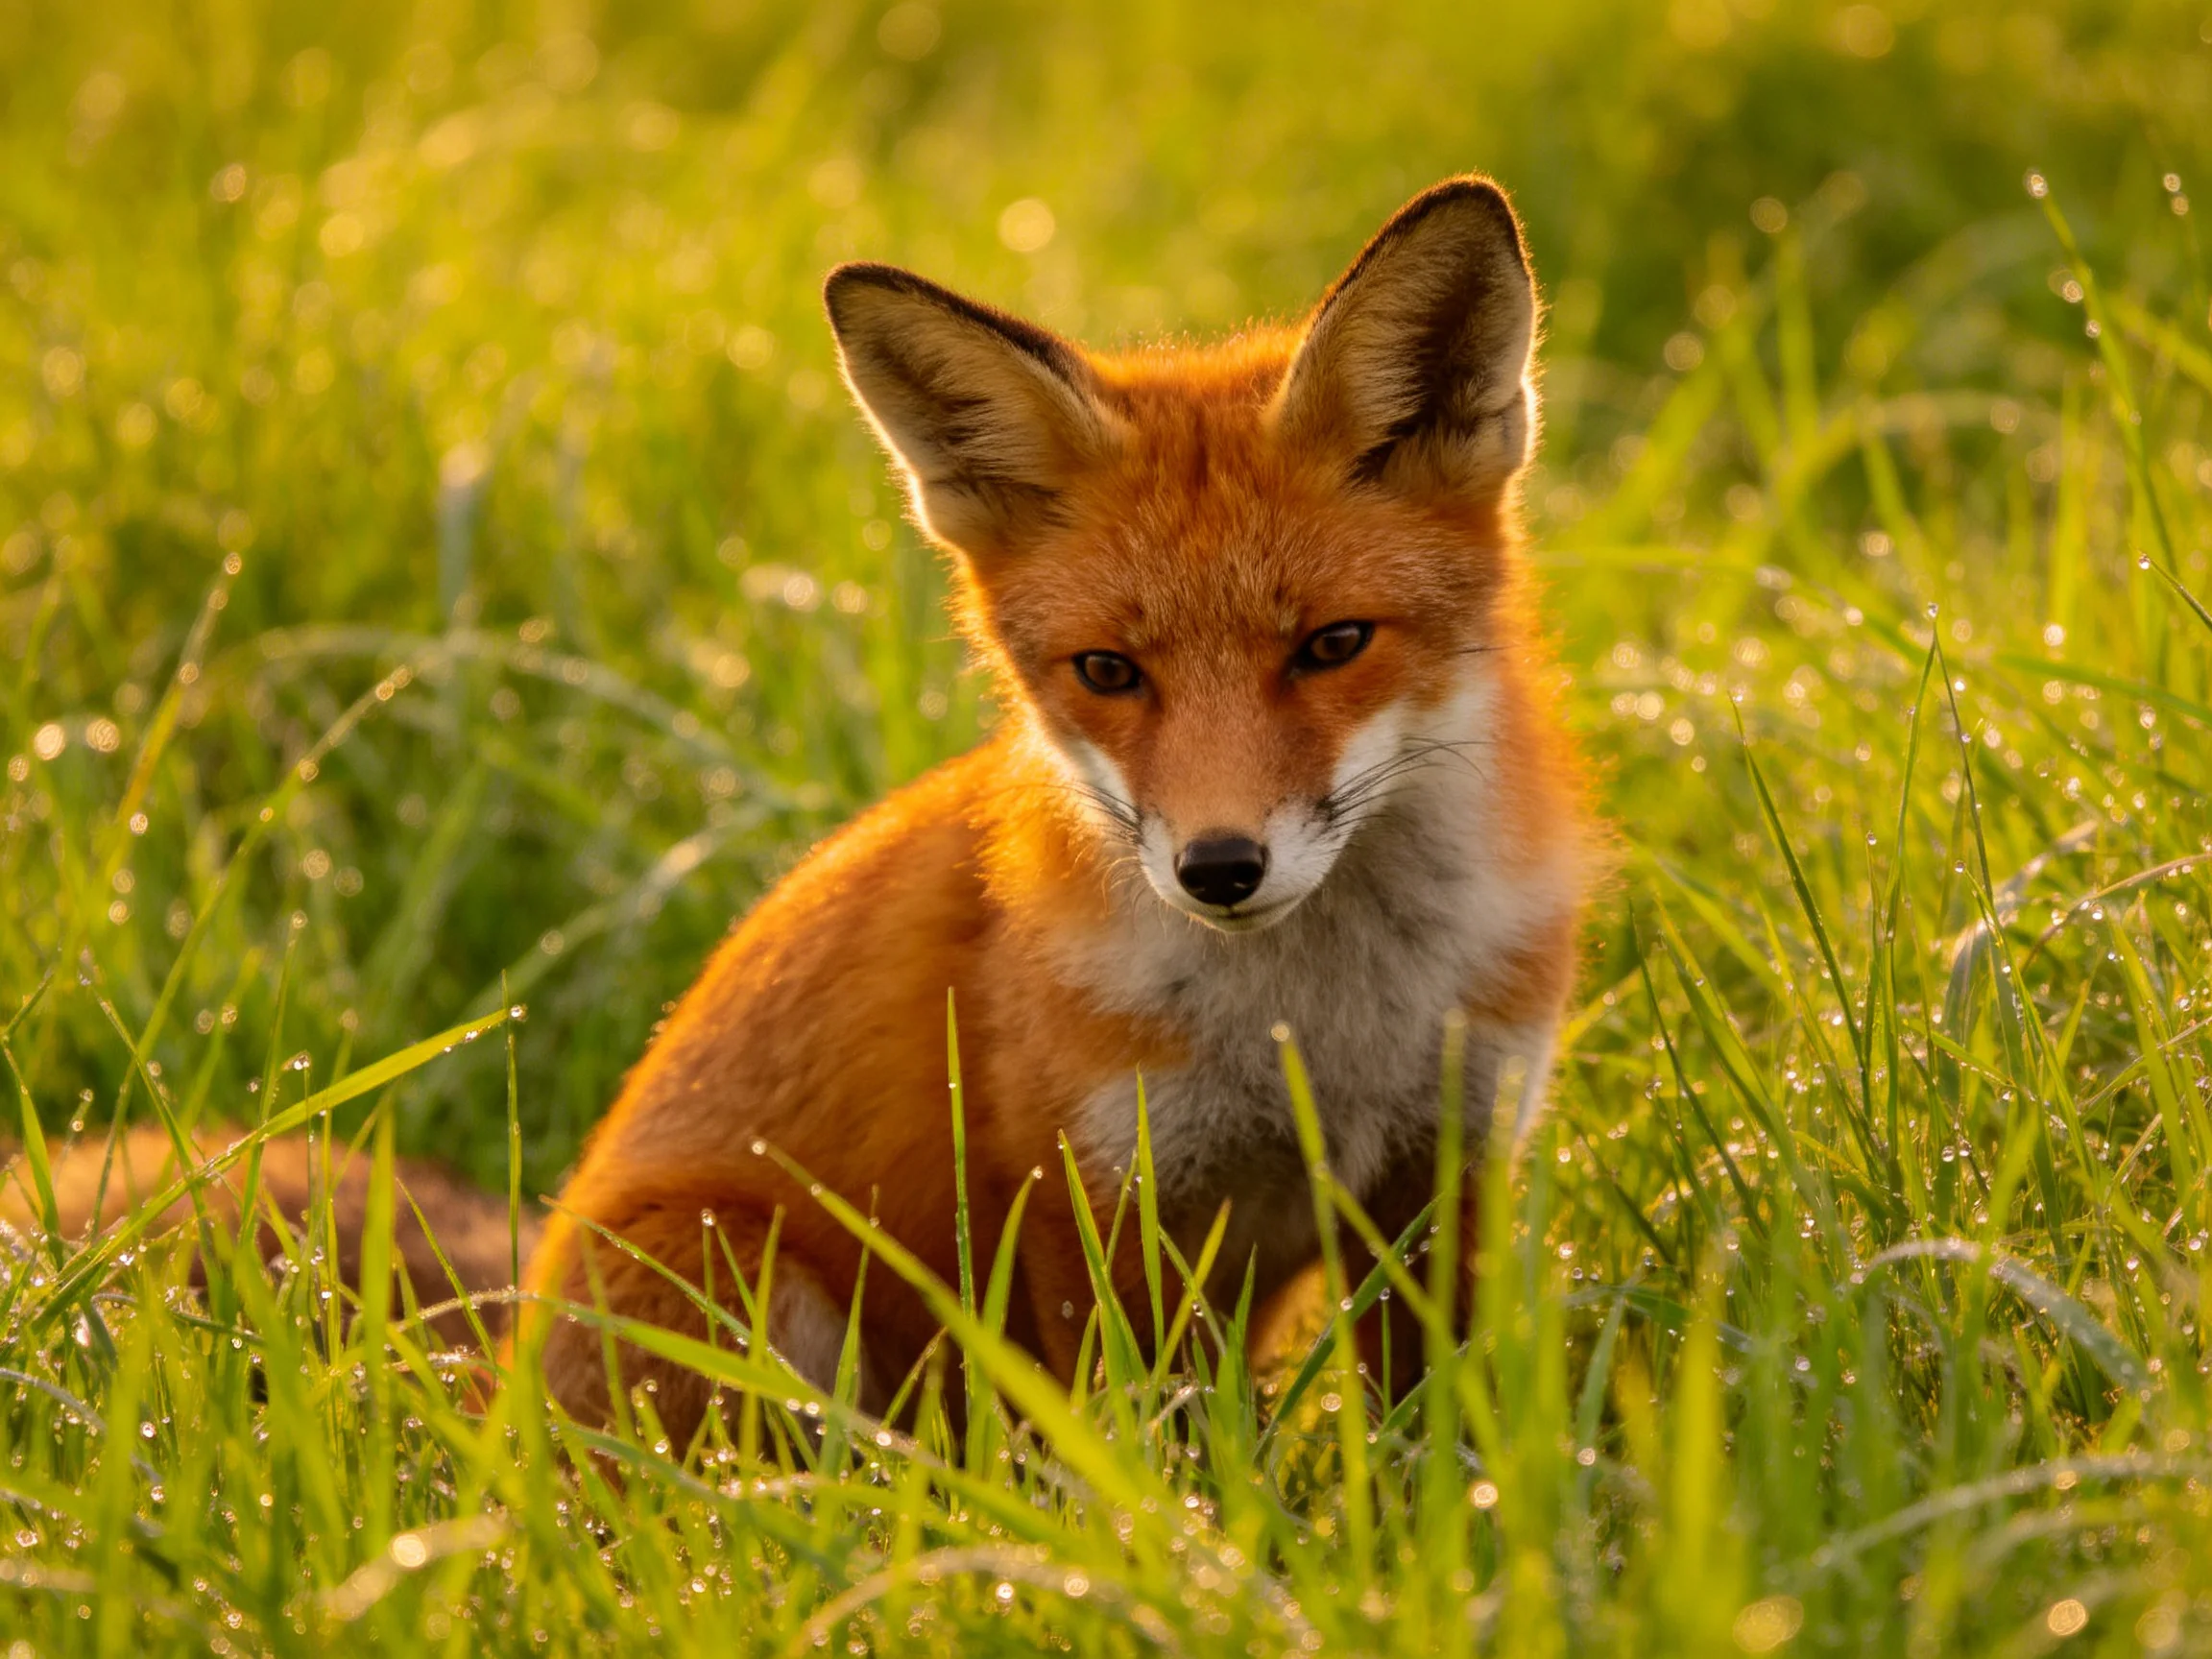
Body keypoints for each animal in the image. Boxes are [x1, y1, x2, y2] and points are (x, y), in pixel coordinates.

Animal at [518, 175, 1596, 1443]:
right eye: (1109, 671)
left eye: (1334, 645)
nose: (1217, 868)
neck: (1323, 1030)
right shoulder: (1091, 1196)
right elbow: (1142, 1445)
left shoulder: (1442, 1172)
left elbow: (1429, 1429)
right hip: (743, 1277)